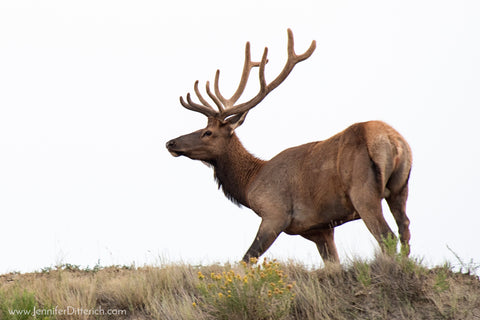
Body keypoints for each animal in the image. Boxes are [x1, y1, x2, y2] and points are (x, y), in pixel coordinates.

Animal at [166, 28, 412, 264]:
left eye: (207, 132)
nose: (171, 142)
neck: (250, 183)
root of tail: (392, 140)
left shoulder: (275, 213)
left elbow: (246, 259)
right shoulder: (320, 229)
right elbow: (333, 263)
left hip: (363, 192)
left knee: (387, 236)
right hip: (400, 188)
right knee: (405, 230)